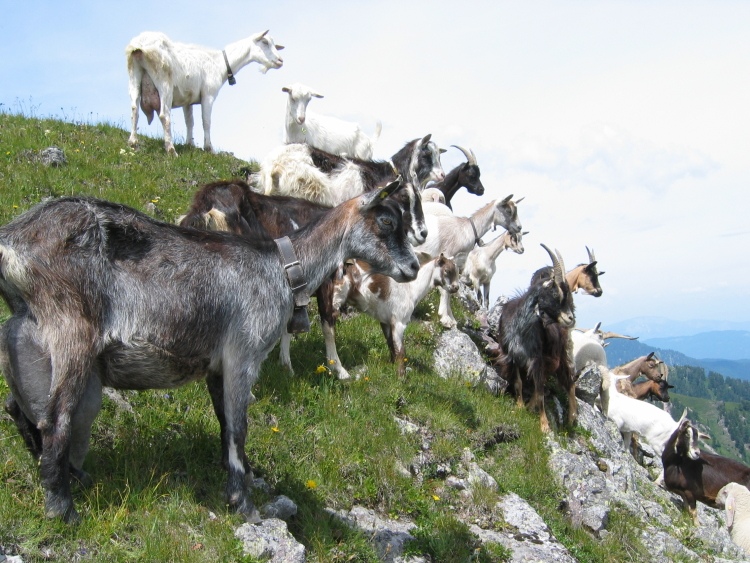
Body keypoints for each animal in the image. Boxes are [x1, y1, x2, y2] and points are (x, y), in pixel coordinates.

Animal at [126, 30, 284, 156]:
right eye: (264, 42)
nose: (280, 61)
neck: (220, 63)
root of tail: (140, 44)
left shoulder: (187, 99)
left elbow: (190, 121)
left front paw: (189, 144)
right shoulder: (208, 95)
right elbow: (206, 121)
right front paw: (209, 148)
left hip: (135, 77)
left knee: (134, 109)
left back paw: (133, 143)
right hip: (164, 82)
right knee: (164, 115)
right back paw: (171, 149)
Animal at [496, 245, 580, 434]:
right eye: (556, 293)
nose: (570, 318)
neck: (520, 328)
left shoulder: (536, 358)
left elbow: (541, 392)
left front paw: (544, 425)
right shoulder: (513, 355)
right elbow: (519, 383)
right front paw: (520, 406)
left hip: (561, 353)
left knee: (569, 381)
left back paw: (571, 417)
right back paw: (529, 405)